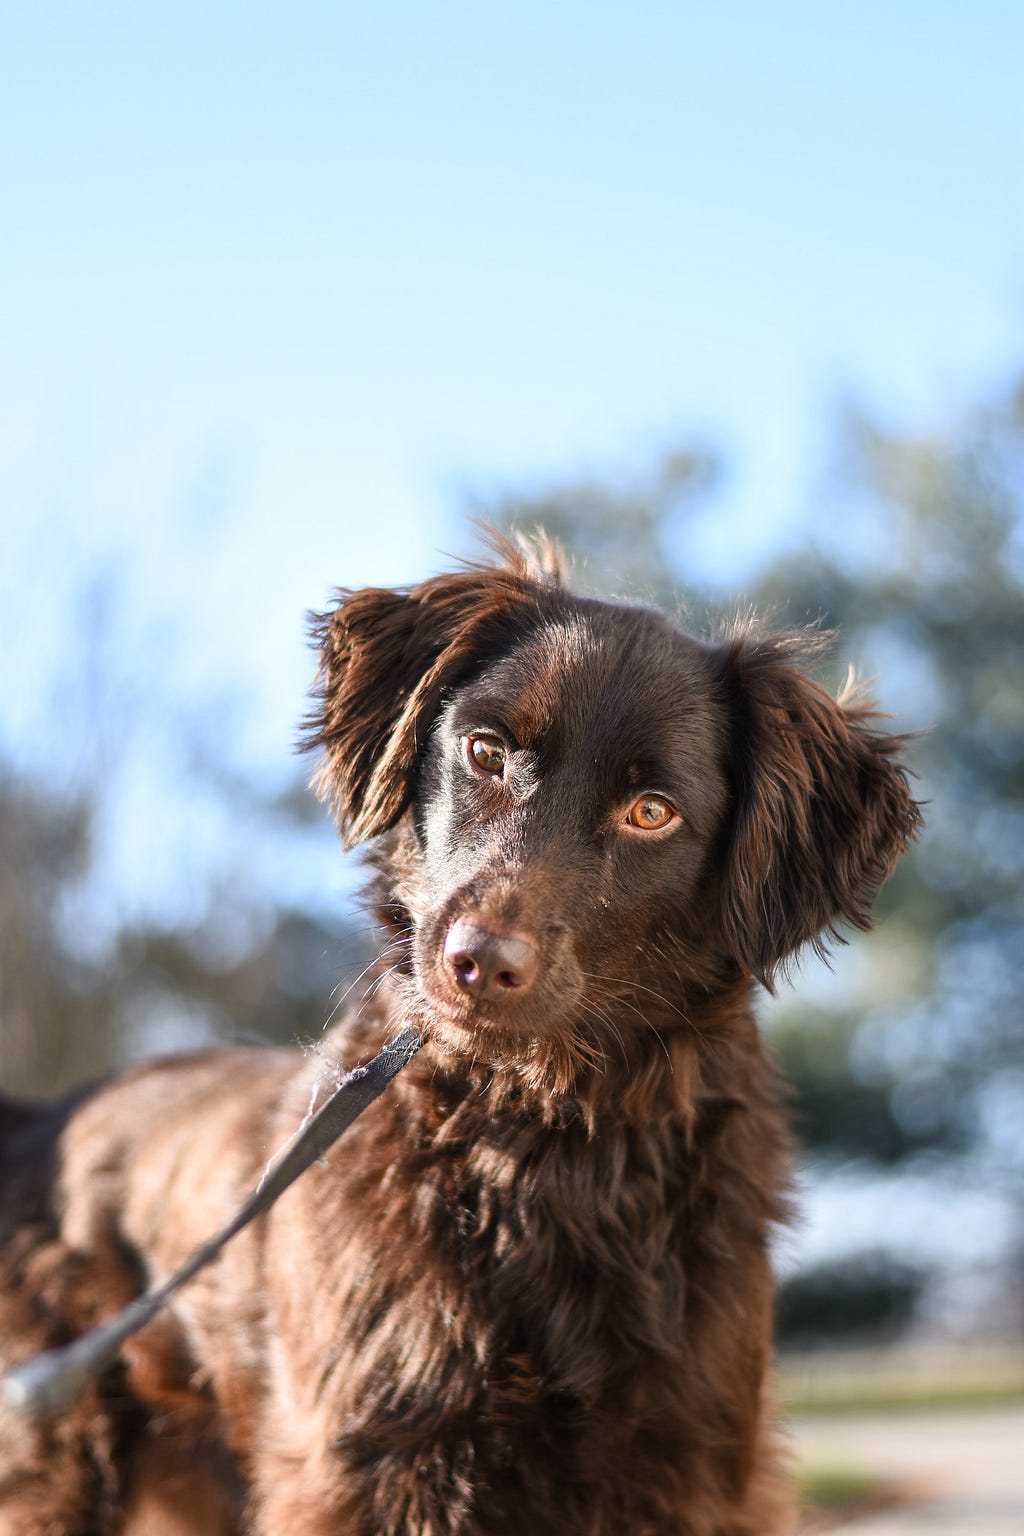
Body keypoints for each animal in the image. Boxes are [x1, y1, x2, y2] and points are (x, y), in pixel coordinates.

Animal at [0, 534, 921, 1529]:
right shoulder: (366, 1464)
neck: (540, 1140)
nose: (477, 962)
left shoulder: (692, 1465)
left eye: (652, 812)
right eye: (486, 750)